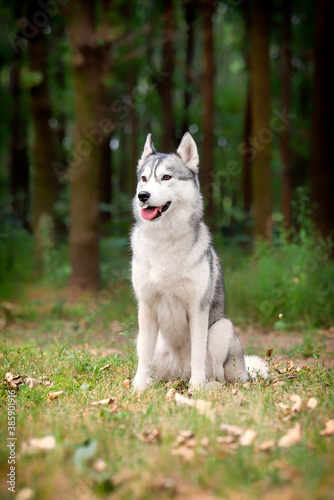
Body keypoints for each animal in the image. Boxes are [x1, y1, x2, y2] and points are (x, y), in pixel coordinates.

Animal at [131, 133, 268, 390]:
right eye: (144, 179)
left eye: (166, 177)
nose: (142, 196)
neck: (166, 241)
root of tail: (179, 374)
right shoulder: (146, 308)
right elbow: (143, 355)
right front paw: (138, 387)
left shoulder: (197, 309)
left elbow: (198, 354)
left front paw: (196, 388)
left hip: (222, 328)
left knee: (221, 377)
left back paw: (208, 385)